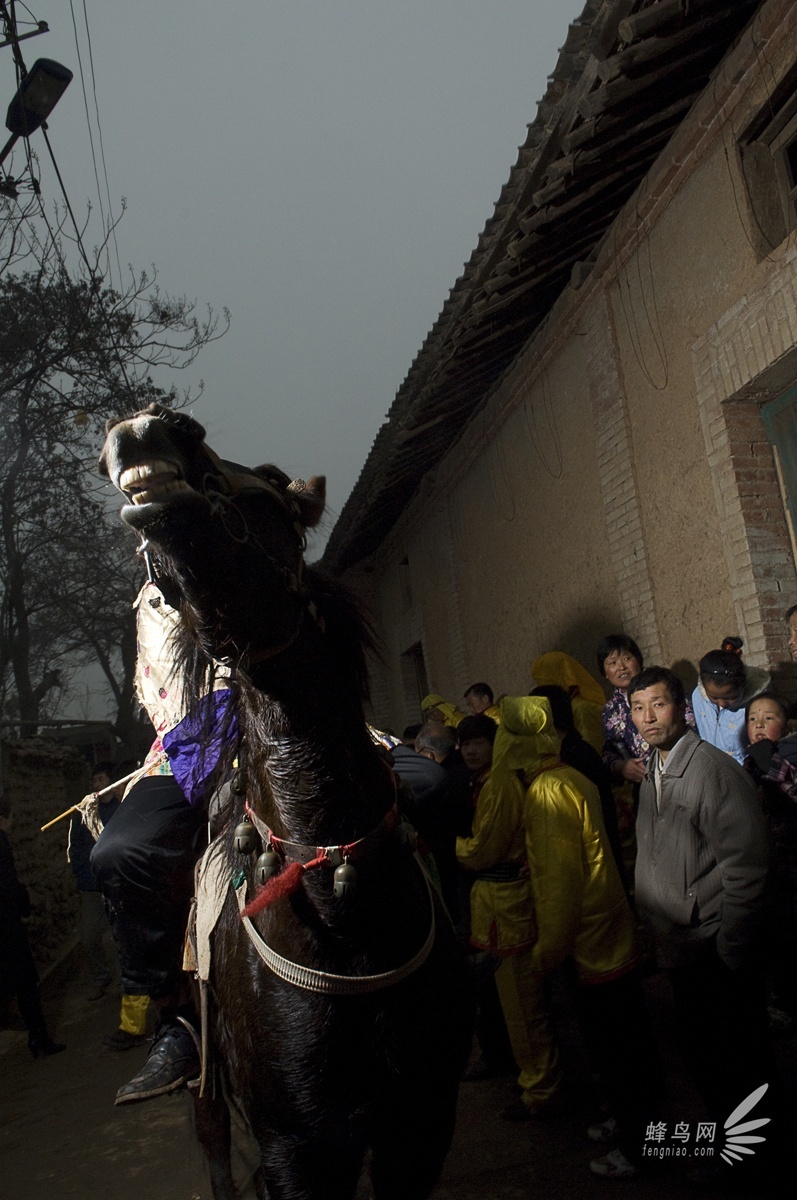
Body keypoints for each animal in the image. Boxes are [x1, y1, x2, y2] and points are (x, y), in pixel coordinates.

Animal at [100, 408, 472, 1200]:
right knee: (210, 1134)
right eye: (151, 562)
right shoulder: (295, 1144)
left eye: (271, 484)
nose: (146, 428)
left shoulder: (421, 1119)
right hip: (211, 1083)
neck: (337, 901)